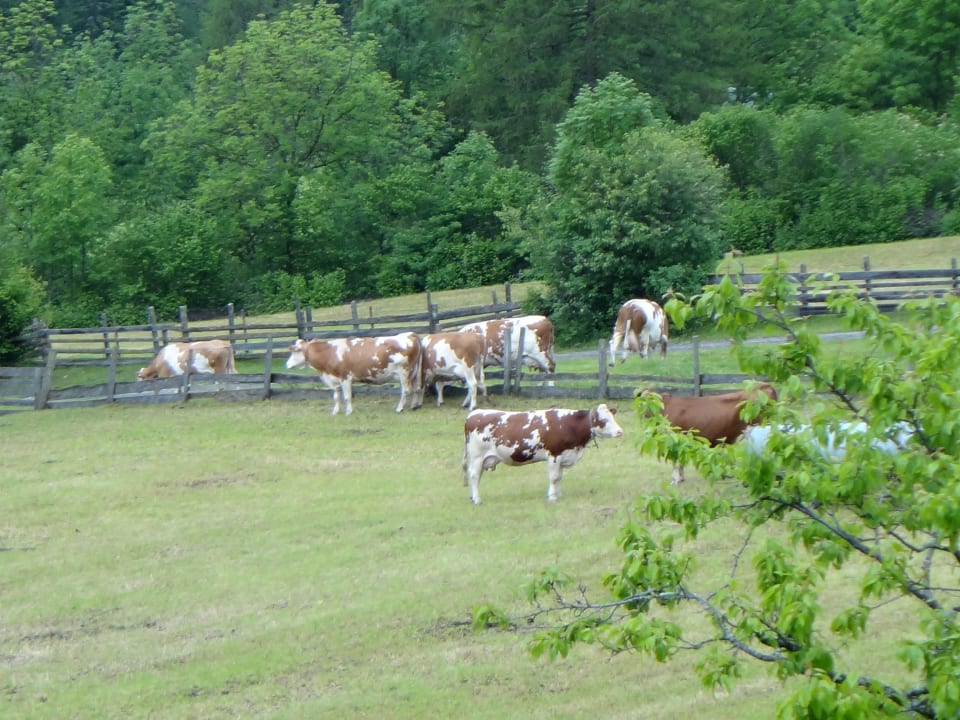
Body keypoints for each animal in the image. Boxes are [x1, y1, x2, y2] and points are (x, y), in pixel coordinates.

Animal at [285, 332, 422, 415]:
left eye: (294, 352)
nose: (286, 364)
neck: (330, 353)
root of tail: (410, 334)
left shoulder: (345, 378)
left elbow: (347, 396)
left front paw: (348, 411)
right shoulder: (335, 379)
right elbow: (336, 396)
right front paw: (335, 411)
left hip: (404, 372)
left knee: (406, 390)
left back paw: (399, 408)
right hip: (414, 373)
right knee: (416, 388)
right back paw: (414, 406)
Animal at [461, 404, 624, 504]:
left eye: (612, 417)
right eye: (604, 420)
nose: (619, 431)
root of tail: (474, 414)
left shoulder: (563, 455)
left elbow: (559, 477)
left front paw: (558, 495)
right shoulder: (554, 455)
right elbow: (554, 477)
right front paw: (552, 497)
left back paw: (472, 497)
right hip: (477, 456)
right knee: (474, 476)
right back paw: (477, 500)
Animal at [640, 383, 777, 484]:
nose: (644, 416)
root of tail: (764, 386)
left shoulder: (674, 438)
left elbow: (676, 460)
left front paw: (675, 480)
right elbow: (681, 460)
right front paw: (681, 478)